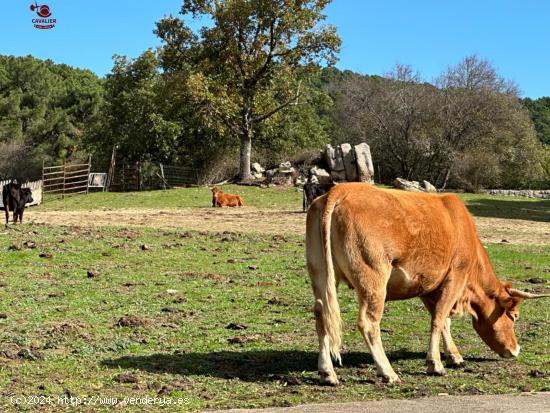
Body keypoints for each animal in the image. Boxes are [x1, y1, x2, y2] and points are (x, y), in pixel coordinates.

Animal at [308, 182, 548, 384]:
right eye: (514, 316)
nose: (515, 350)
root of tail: (340, 189)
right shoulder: (455, 277)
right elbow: (439, 319)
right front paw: (435, 364)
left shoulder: (427, 286)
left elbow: (443, 320)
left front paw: (454, 356)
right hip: (373, 279)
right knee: (368, 323)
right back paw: (388, 372)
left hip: (320, 274)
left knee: (321, 315)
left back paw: (327, 373)